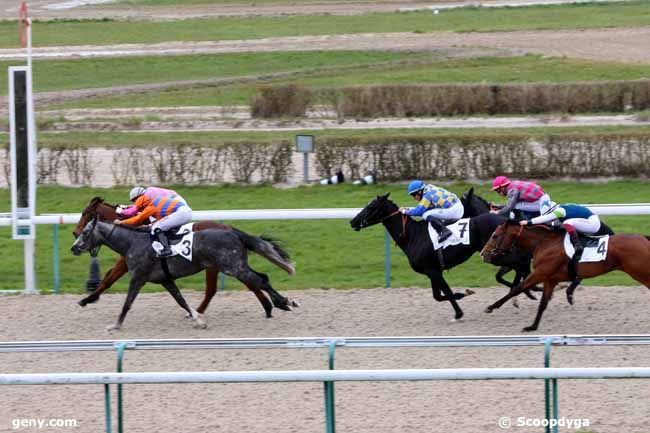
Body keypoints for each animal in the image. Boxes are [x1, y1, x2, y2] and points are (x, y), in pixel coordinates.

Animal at [72, 197, 294, 318]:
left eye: (85, 213)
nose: (75, 234)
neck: (133, 232)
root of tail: (231, 229)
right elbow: (109, 278)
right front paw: (89, 298)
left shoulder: (127, 265)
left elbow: (108, 278)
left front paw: (87, 299)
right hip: (222, 266)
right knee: (250, 281)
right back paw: (268, 307)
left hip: (226, 265)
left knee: (245, 283)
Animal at [346, 192, 536, 320]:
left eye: (370, 207)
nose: (353, 221)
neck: (413, 236)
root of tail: (506, 221)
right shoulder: (432, 271)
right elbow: (438, 296)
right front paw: (461, 300)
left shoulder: (433, 271)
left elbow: (447, 292)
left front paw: (461, 305)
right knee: (520, 264)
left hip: (495, 254)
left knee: (521, 263)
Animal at [478, 223, 648, 330]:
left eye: (495, 235)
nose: (484, 254)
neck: (544, 243)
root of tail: (645, 238)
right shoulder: (550, 279)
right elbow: (543, 303)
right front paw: (532, 327)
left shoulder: (539, 273)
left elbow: (517, 288)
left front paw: (491, 307)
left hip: (641, 273)